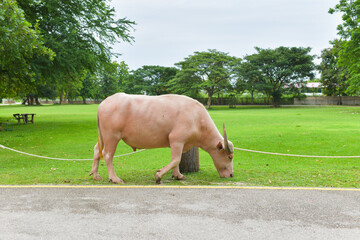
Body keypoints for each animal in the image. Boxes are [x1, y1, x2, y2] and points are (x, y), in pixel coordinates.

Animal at [90, 93, 233, 183]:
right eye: (229, 157)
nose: (231, 175)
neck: (197, 118)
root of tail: (103, 103)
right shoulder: (176, 139)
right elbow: (176, 159)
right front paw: (159, 176)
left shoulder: (179, 143)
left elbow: (176, 160)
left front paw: (178, 175)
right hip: (112, 136)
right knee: (107, 155)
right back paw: (114, 178)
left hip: (103, 137)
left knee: (97, 150)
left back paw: (95, 175)